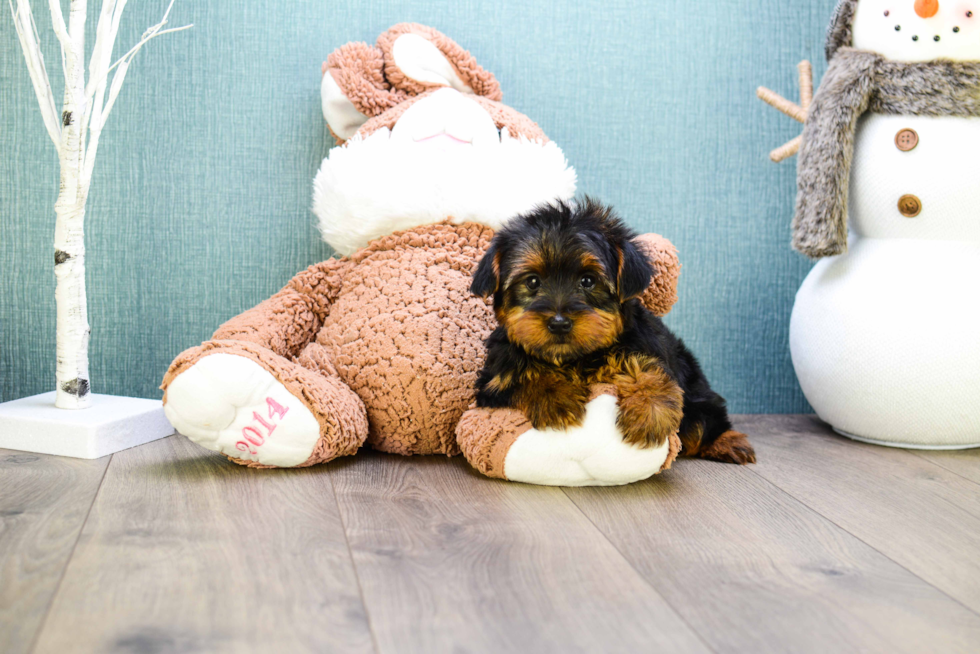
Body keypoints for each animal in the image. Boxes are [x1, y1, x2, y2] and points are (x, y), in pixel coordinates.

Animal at [470, 200, 756, 466]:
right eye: (532, 282)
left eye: (587, 281)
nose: (559, 323)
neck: (575, 358)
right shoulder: (494, 379)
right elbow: (520, 373)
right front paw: (556, 396)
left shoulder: (640, 343)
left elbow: (648, 368)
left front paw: (649, 412)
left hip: (696, 394)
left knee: (701, 424)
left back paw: (727, 442)